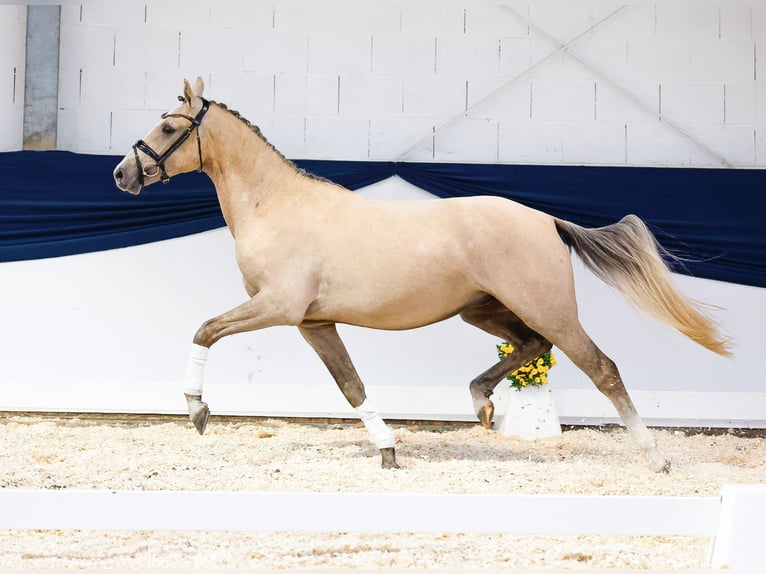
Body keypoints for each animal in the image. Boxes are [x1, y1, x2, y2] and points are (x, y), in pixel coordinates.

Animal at [114, 79, 732, 474]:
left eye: (166, 126)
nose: (123, 174)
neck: (277, 205)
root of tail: (546, 220)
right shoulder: (313, 323)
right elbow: (352, 386)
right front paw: (388, 450)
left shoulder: (278, 307)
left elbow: (204, 329)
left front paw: (197, 411)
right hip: (484, 308)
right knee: (531, 345)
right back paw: (481, 402)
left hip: (546, 307)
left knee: (601, 368)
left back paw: (656, 458)